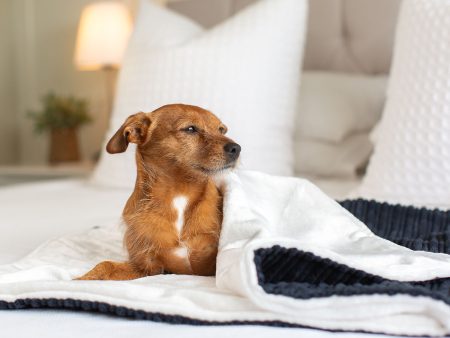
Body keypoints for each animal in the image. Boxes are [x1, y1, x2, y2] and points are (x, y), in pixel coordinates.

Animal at [77, 103, 241, 280]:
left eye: (222, 130)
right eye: (190, 129)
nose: (236, 148)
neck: (179, 193)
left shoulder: (211, 263)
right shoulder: (147, 267)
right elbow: (105, 265)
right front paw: (83, 279)